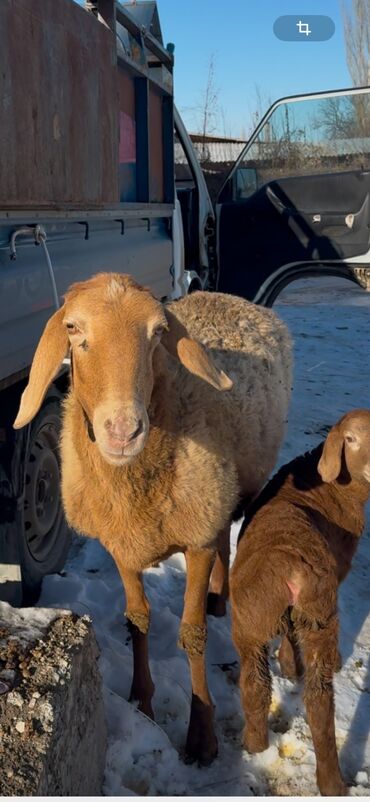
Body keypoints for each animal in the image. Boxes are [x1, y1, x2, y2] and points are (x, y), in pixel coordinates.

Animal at [230, 410, 370, 796]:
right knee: (300, 695)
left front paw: (290, 666)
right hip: (309, 616)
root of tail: (290, 561)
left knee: (272, 688)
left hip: (258, 618)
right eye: (350, 439)